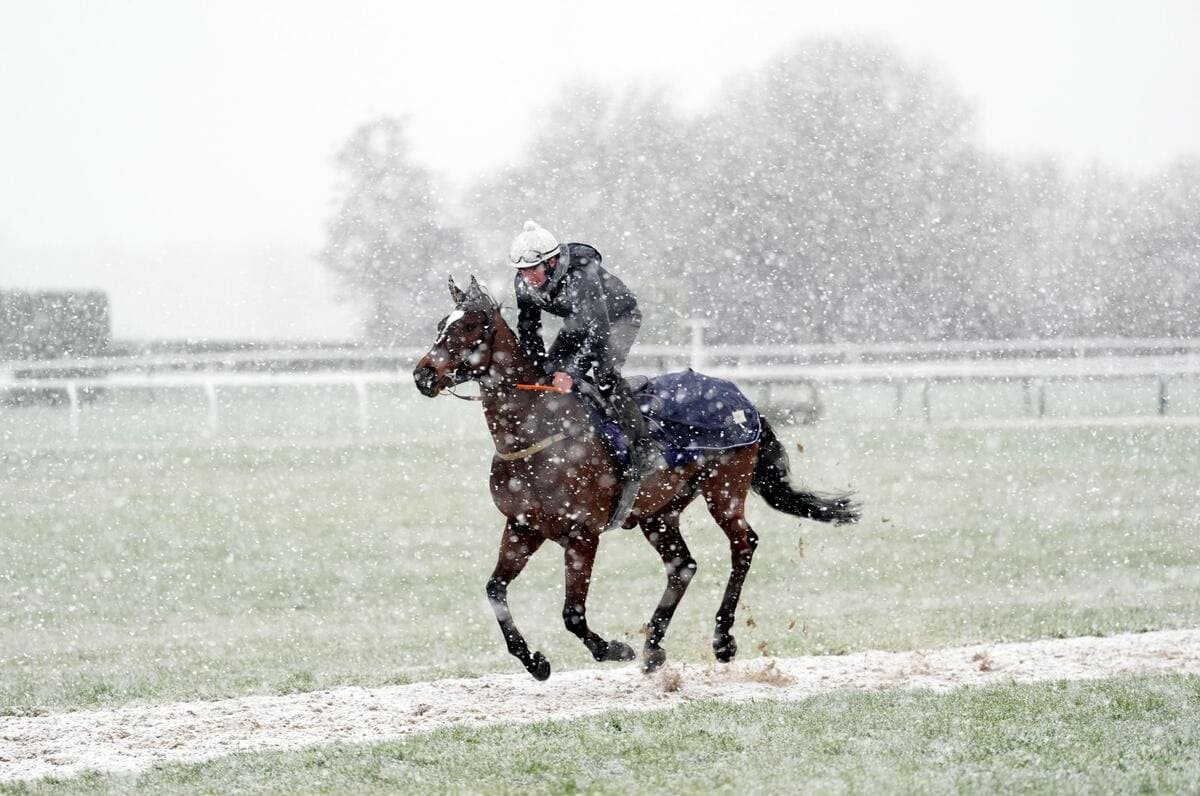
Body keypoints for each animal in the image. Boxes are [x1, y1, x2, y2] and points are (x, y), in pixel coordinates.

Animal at [417, 277, 859, 681]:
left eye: (470, 327)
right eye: (441, 324)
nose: (423, 375)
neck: (538, 432)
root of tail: (742, 398)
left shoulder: (582, 536)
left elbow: (572, 614)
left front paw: (613, 648)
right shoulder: (522, 527)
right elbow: (495, 591)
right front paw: (535, 662)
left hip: (725, 488)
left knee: (743, 544)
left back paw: (722, 640)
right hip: (660, 512)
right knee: (683, 565)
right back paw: (653, 647)